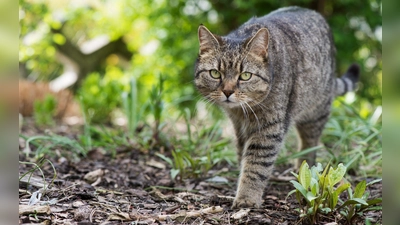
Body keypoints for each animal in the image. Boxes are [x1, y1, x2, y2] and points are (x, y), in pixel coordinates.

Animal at [194, 5, 360, 209]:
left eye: (245, 76)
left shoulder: (269, 129)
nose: (227, 91)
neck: (243, 112)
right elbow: (243, 157)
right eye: (215, 73)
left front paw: (247, 197)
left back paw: (303, 169)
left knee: (309, 144)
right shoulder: (239, 127)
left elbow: (256, 165)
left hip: (315, 112)